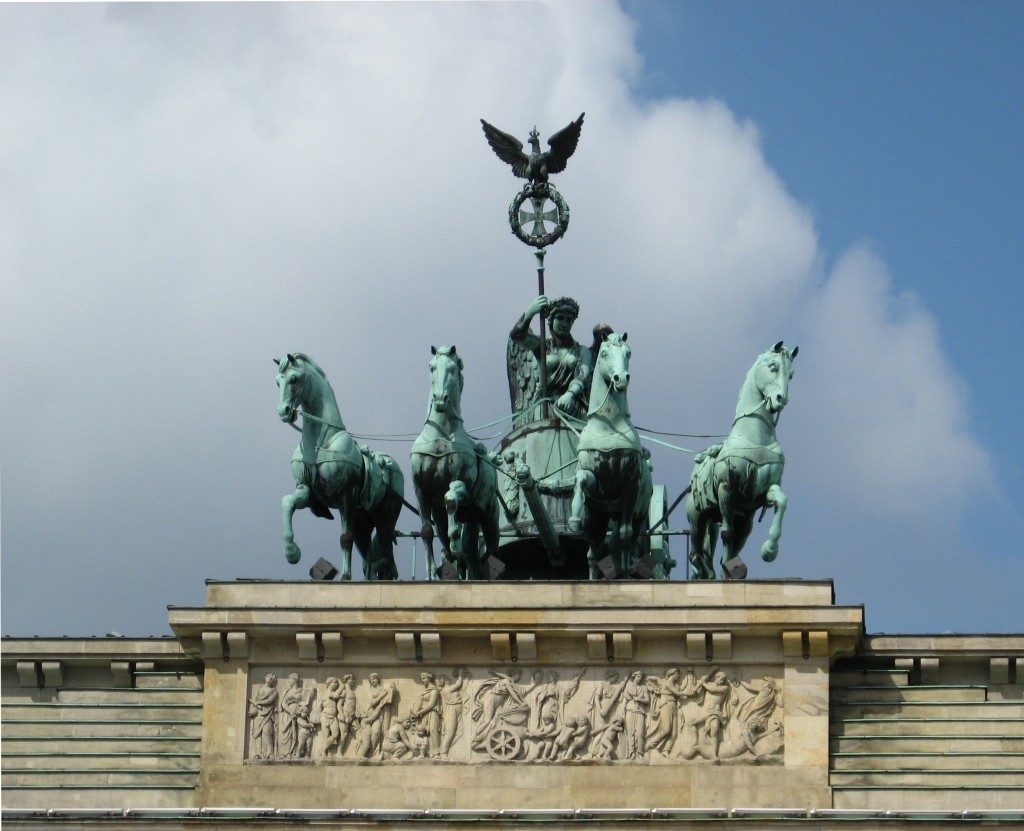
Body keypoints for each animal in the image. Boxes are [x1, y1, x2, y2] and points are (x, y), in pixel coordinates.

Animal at [276, 354, 403, 581]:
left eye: (293, 379)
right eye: (277, 382)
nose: (283, 412)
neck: (320, 441)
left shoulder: (346, 497)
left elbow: (345, 538)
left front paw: (345, 576)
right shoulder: (306, 490)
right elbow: (287, 502)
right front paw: (291, 552)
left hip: (385, 519)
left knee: (382, 553)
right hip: (363, 521)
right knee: (369, 556)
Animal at [409, 343, 501, 577]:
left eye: (452, 368)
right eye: (431, 367)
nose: (440, 399)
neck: (440, 435)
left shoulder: (461, 482)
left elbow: (450, 498)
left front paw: (456, 546)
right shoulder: (421, 491)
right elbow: (426, 530)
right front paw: (432, 573)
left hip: (488, 520)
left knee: (485, 552)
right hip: (457, 520)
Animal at [688, 341, 798, 581]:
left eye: (792, 374)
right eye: (773, 366)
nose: (781, 399)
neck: (755, 437)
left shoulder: (763, 492)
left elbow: (782, 501)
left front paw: (769, 550)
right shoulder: (726, 488)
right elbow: (726, 534)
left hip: (745, 523)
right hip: (697, 515)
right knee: (696, 549)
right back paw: (702, 569)